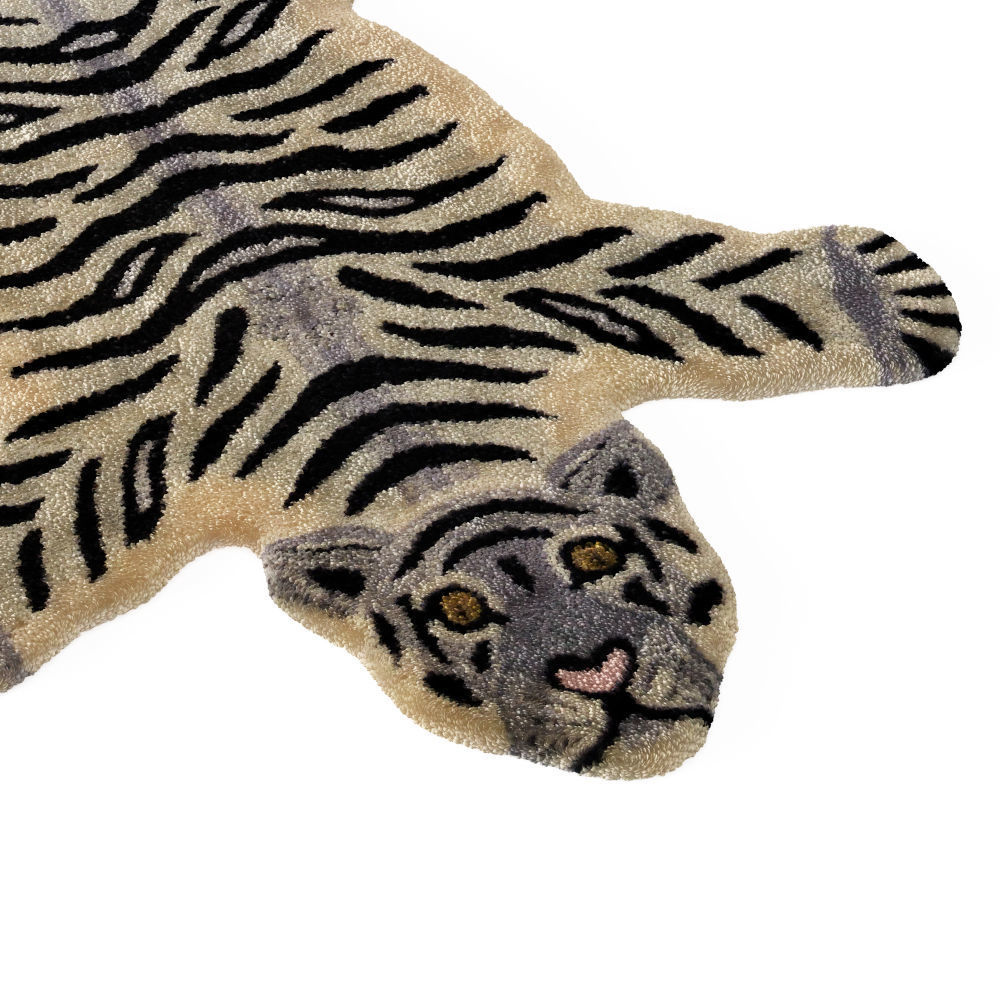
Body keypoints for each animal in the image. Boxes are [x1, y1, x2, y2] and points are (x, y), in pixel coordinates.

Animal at [0, 0, 960, 778]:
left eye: (595, 557)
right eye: (458, 611)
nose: (594, 668)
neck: (412, 437)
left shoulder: (565, 281)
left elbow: (842, 298)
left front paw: (896, 292)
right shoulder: (124, 457)